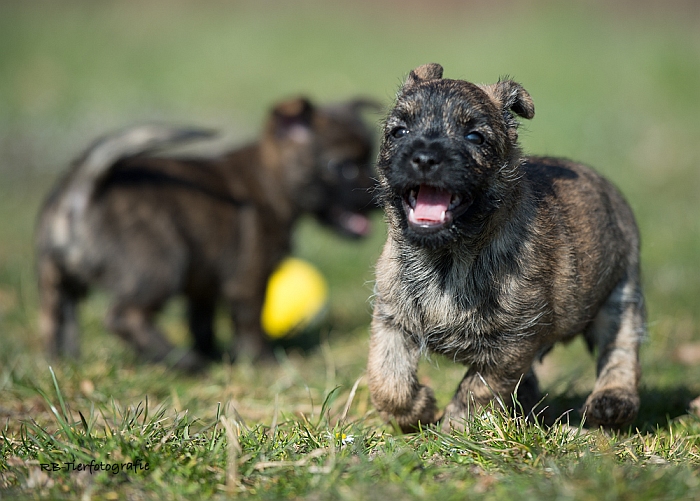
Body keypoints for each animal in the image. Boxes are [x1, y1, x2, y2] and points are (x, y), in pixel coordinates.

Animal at [35, 98, 380, 372]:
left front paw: (217, 354)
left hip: (56, 278)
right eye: (343, 166)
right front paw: (263, 363)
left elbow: (202, 323)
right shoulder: (249, 279)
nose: (377, 198)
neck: (271, 180)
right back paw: (184, 362)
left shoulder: (204, 285)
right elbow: (250, 324)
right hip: (161, 268)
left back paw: (63, 363)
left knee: (55, 318)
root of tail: (82, 194)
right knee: (123, 316)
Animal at [366, 62, 644, 430]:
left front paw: (456, 428)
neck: (447, 257)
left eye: (474, 137)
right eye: (399, 132)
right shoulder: (391, 319)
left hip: (622, 295)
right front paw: (416, 410)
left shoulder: (513, 343)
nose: (424, 158)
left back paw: (612, 402)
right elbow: (387, 378)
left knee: (621, 349)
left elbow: (477, 389)